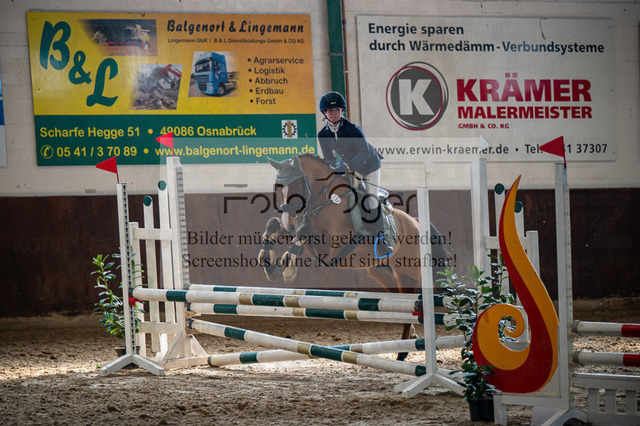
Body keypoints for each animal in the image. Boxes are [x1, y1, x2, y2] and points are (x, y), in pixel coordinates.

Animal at [258, 154, 447, 360]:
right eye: (278, 187)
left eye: (297, 185)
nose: (289, 223)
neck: (325, 201)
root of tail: (416, 222)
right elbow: (274, 224)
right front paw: (269, 264)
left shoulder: (332, 249)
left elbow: (303, 231)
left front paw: (287, 268)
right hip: (381, 273)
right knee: (401, 303)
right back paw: (410, 337)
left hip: (408, 272)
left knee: (408, 303)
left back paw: (403, 352)